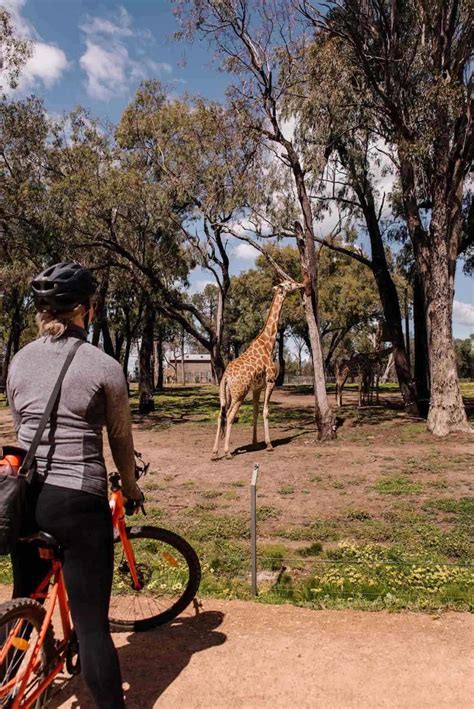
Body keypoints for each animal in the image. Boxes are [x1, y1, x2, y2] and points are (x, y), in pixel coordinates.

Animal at [212, 280, 304, 462]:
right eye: (289, 284)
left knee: (220, 415)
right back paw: (227, 452)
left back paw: (214, 452)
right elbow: (266, 411)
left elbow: (255, 412)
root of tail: (226, 377)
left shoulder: (257, 388)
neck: (268, 344)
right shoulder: (270, 382)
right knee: (230, 415)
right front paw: (269, 445)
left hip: (226, 395)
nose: (301, 284)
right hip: (239, 394)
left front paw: (254, 443)